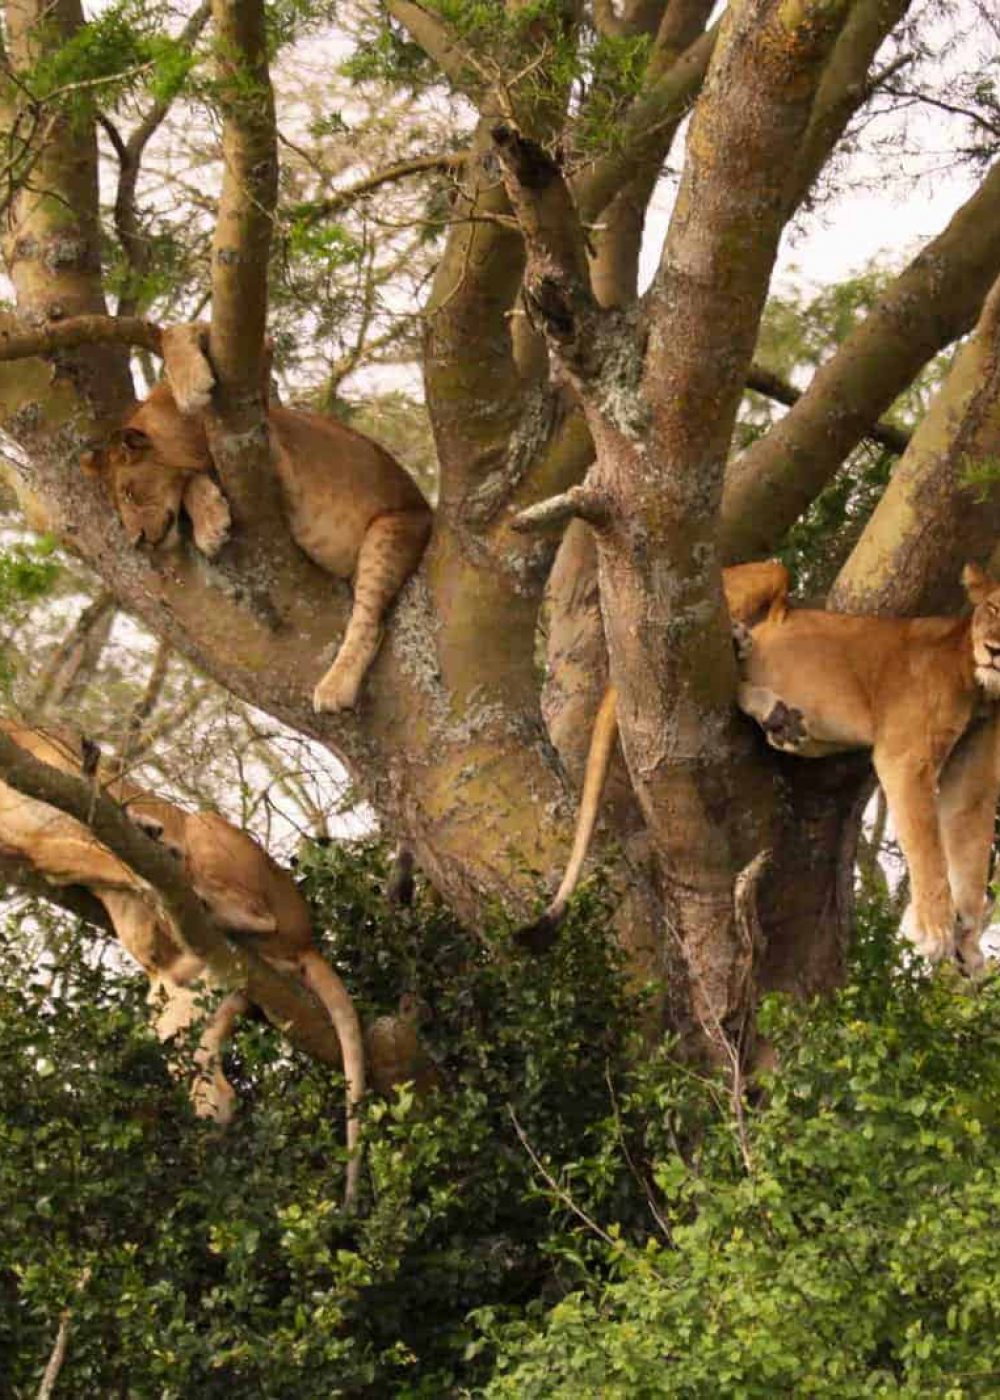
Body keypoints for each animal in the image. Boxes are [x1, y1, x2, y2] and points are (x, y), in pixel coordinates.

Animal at [0, 722, 366, 1204]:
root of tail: (307, 940)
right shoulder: (39, 852)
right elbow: (97, 859)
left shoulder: (80, 795)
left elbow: (112, 836)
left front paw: (146, 837)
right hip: (181, 1023)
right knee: (214, 1086)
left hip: (208, 827)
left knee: (252, 908)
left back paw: (190, 886)